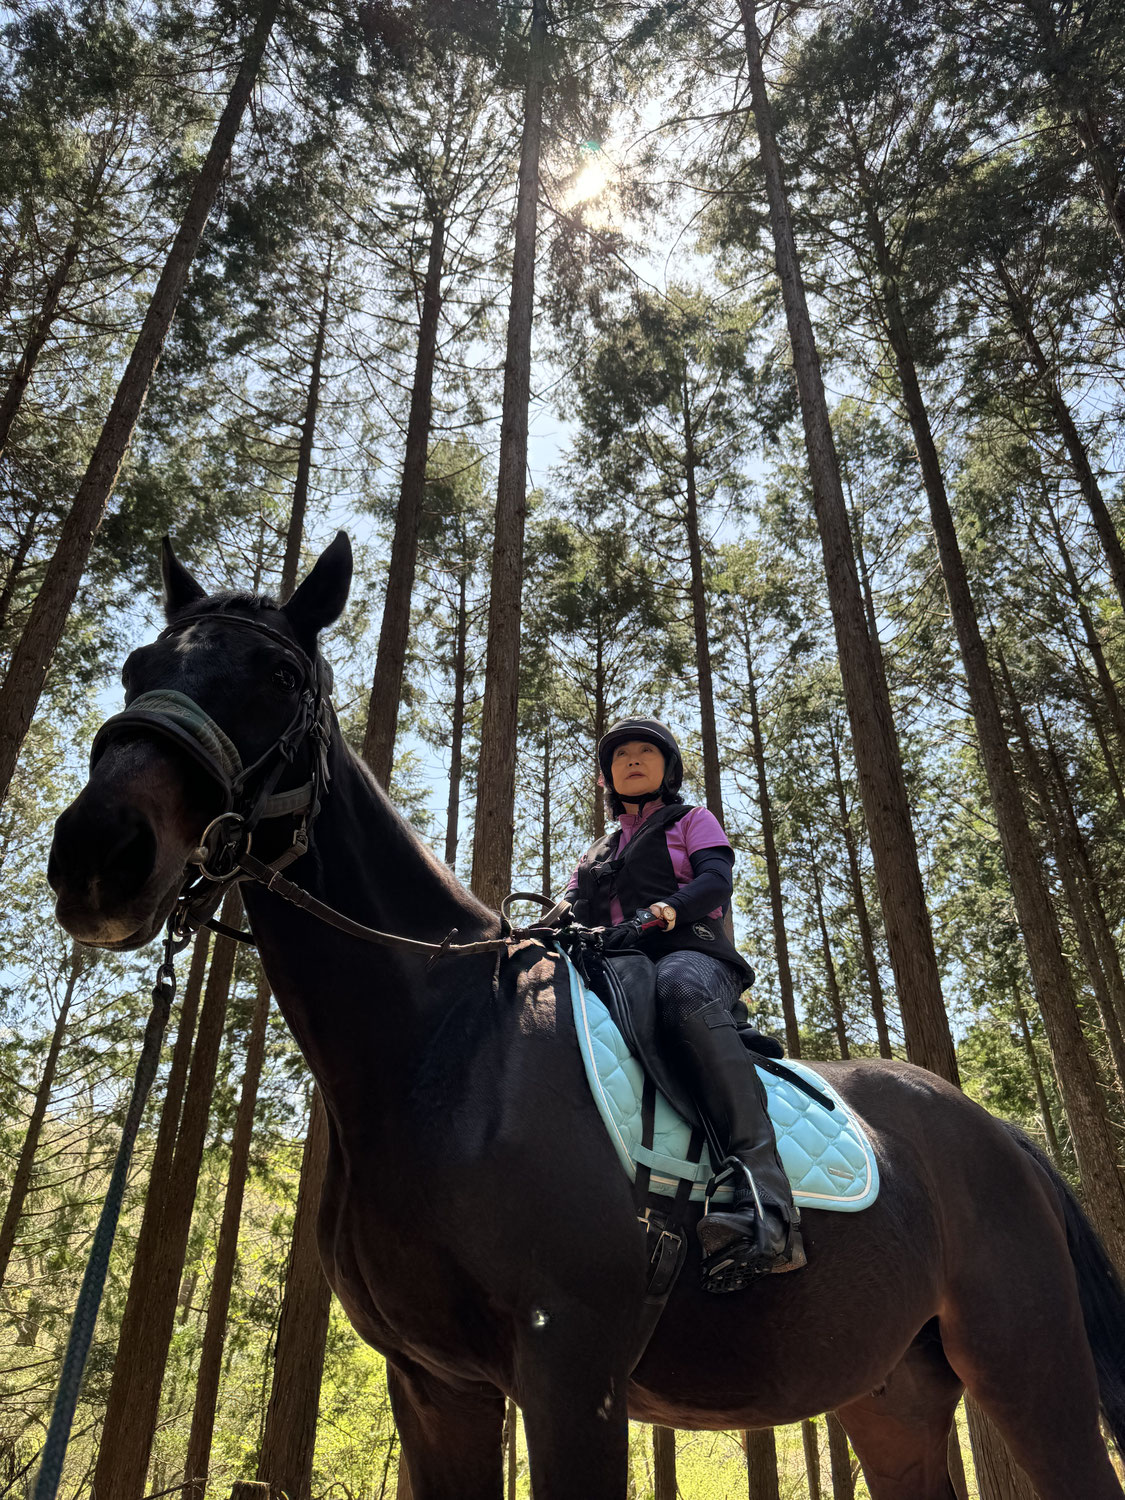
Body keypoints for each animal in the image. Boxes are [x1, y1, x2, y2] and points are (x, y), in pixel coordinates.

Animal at [46, 540, 1125, 1500]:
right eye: (140, 667)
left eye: (276, 672)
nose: (99, 851)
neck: (445, 1053)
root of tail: (1002, 1136)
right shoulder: (435, 1388)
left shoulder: (572, 1373)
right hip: (889, 1393)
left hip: (1027, 1369)